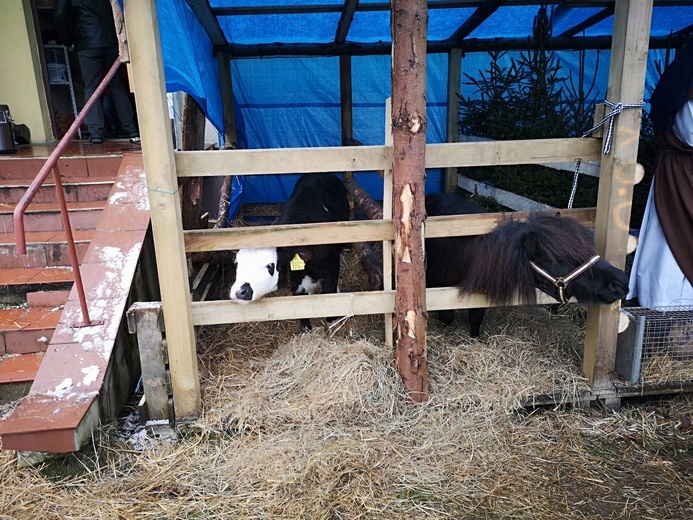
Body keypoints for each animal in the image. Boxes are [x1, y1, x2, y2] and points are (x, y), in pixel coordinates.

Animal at [231, 175, 352, 328]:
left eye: (270, 266)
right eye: (237, 264)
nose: (239, 292)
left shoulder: (332, 266)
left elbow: (330, 299)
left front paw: (333, 323)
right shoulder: (295, 283)